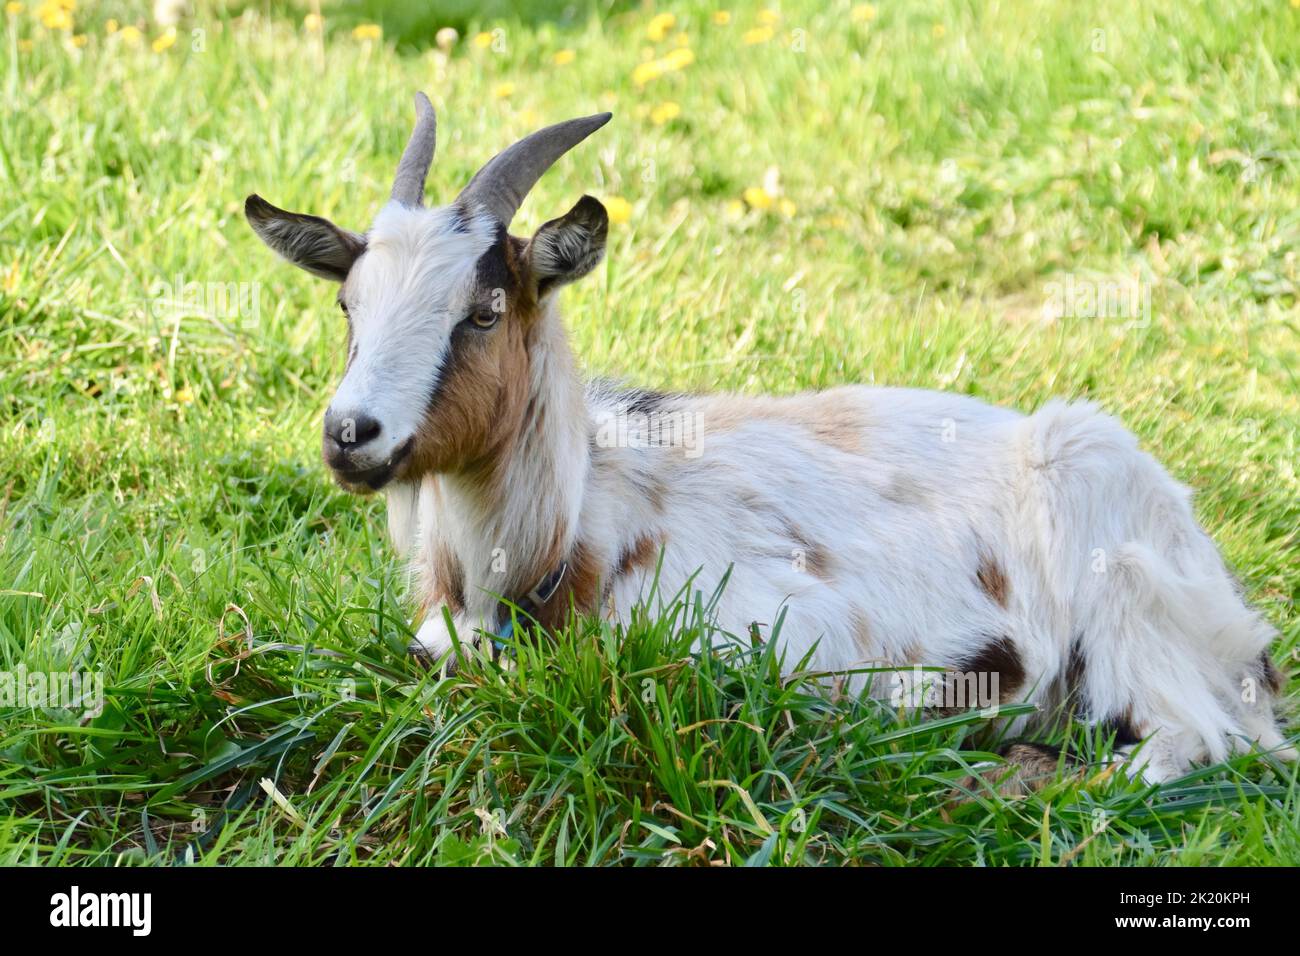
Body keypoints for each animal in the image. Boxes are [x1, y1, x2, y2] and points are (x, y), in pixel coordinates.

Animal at [245, 95, 1289, 785]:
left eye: (484, 310)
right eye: (348, 305)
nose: (350, 434)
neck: (563, 534)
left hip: (1125, 597)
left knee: (1193, 740)